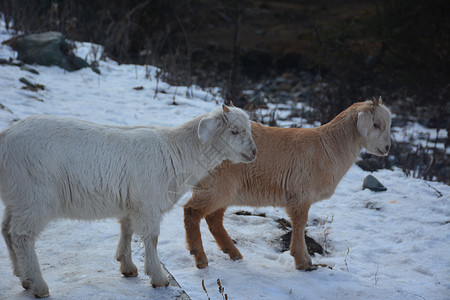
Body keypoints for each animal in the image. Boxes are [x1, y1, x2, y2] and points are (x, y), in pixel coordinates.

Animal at [0, 105, 256, 298]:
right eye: (235, 131)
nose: (254, 153)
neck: (176, 151)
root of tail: (5, 138)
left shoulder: (132, 202)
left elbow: (127, 229)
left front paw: (127, 266)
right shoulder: (149, 203)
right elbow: (152, 238)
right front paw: (158, 278)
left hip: (17, 198)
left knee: (7, 230)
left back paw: (23, 277)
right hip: (34, 196)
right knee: (22, 235)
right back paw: (38, 285)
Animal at [183, 98, 390, 270]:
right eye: (376, 124)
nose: (387, 148)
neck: (328, 147)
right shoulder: (300, 195)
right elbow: (300, 224)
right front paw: (302, 261)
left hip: (224, 190)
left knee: (213, 219)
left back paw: (233, 253)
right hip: (216, 185)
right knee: (192, 211)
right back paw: (200, 258)